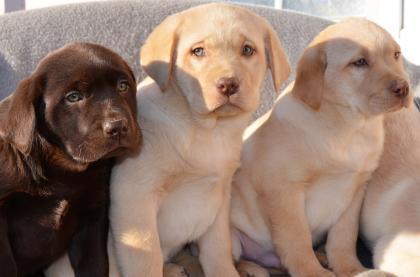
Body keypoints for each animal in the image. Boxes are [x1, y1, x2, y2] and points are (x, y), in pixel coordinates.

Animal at [0, 42, 141, 274]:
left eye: (123, 86)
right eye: (73, 97)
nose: (118, 127)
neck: (64, 170)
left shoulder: (92, 217)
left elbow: (95, 264)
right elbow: (6, 266)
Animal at [109, 3, 288, 276]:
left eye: (248, 50)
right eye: (198, 51)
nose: (228, 84)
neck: (207, 130)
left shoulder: (219, 198)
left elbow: (218, 248)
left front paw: (225, 272)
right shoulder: (134, 197)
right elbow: (146, 257)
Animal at [228, 17, 412, 276]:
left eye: (396, 55)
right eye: (360, 62)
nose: (404, 88)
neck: (350, 127)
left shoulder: (355, 192)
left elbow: (343, 238)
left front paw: (351, 268)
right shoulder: (283, 189)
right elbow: (297, 239)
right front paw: (312, 271)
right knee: (235, 258)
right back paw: (251, 268)